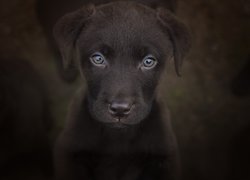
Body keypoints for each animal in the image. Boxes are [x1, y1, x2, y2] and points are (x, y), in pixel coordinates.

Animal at [48, 0, 189, 180]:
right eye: (98, 58)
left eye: (148, 61)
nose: (120, 110)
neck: (118, 137)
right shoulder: (68, 153)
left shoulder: (165, 159)